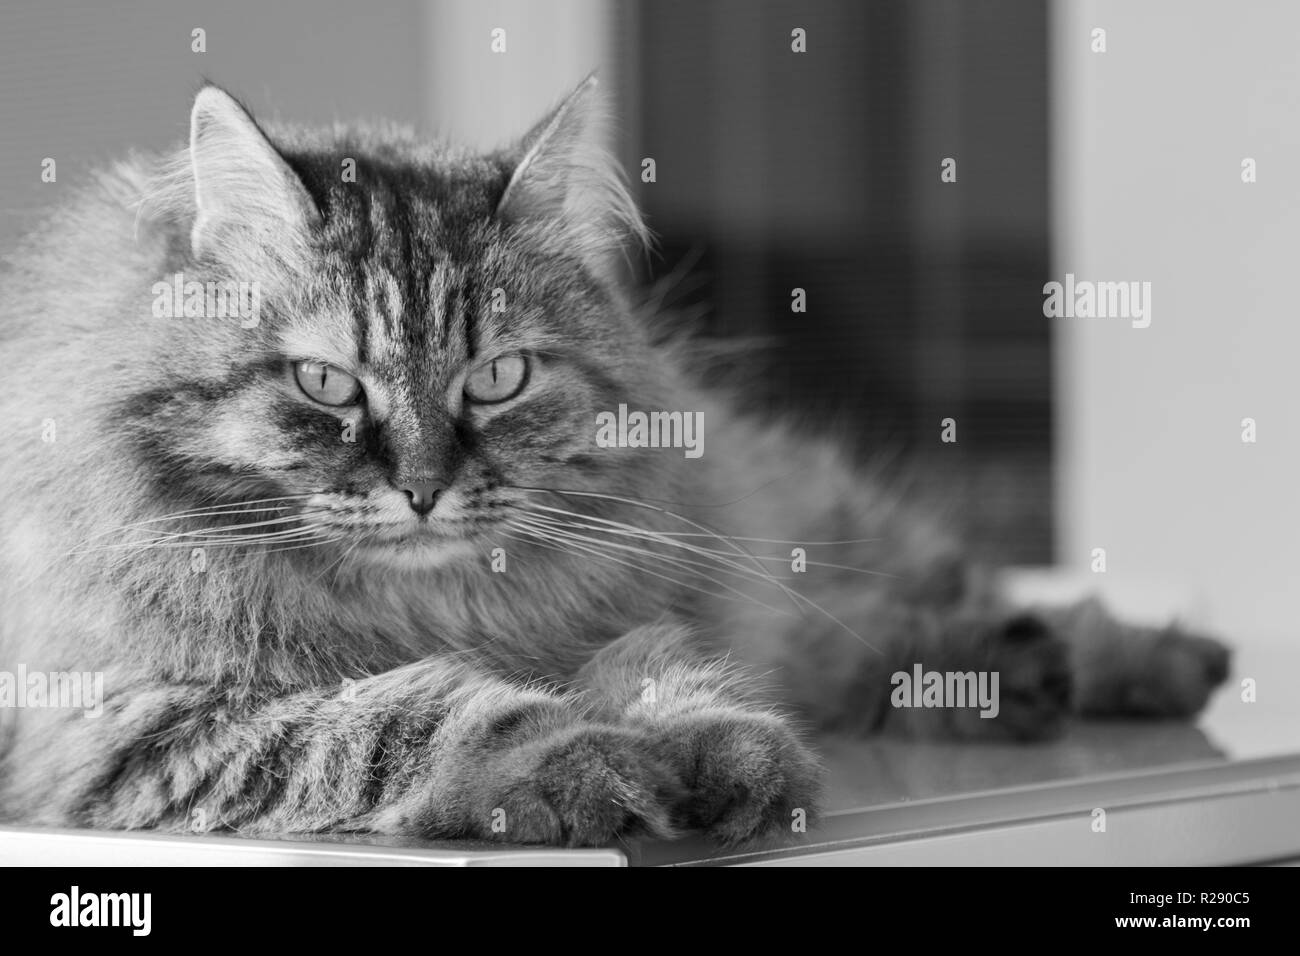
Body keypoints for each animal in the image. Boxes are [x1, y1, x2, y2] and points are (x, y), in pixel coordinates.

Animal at [0, 80, 1227, 842]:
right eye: (327, 386)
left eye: (497, 378)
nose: (423, 486)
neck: (426, 607)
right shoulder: (128, 721)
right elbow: (419, 716)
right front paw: (589, 766)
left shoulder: (644, 608)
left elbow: (667, 672)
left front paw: (719, 753)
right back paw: (1029, 676)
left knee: (942, 605)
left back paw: (1127, 661)